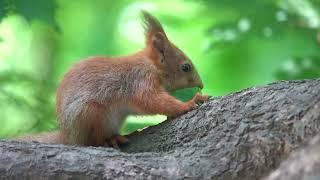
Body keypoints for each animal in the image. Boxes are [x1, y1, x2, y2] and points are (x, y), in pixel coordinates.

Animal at [17, 10, 209, 148]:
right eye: (186, 67)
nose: (201, 84)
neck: (151, 65)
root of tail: (67, 137)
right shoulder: (140, 81)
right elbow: (152, 100)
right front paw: (189, 103)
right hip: (89, 113)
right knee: (91, 140)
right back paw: (108, 140)